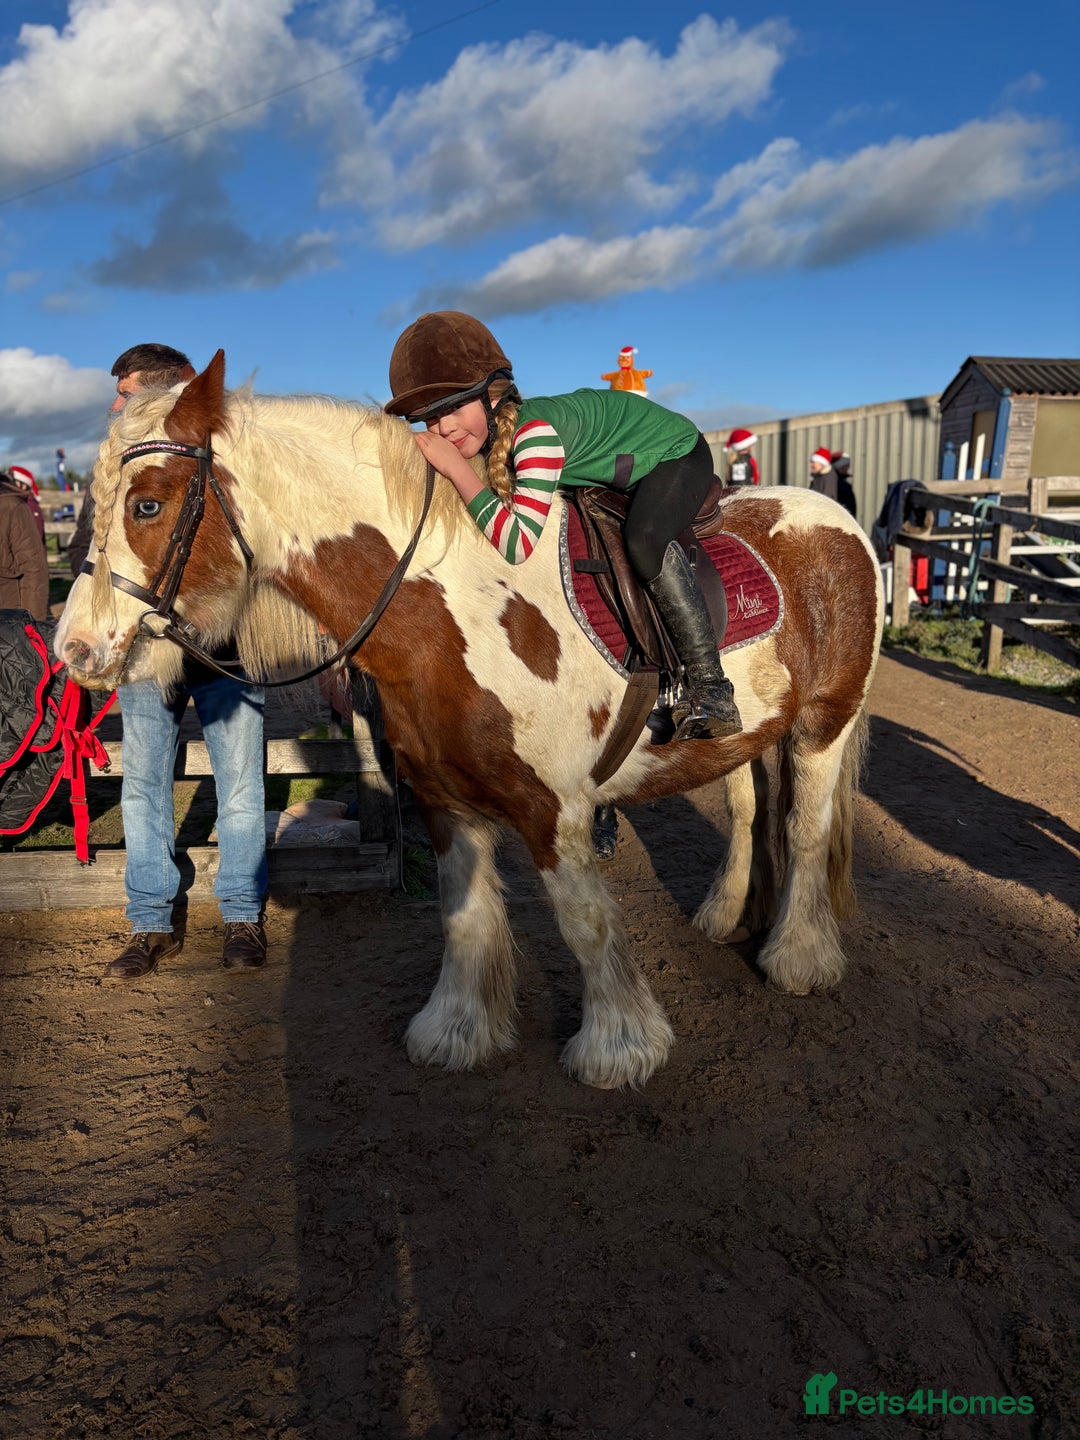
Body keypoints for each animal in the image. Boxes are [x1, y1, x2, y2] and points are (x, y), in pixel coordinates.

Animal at [56, 352, 883, 1089]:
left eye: (147, 505)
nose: (74, 648)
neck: (448, 607)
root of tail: (837, 518)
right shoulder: (444, 801)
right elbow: (465, 917)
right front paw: (458, 1030)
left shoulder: (555, 811)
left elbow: (583, 921)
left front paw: (618, 1047)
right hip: (746, 734)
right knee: (748, 810)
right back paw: (724, 914)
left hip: (823, 726)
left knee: (805, 829)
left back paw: (798, 958)